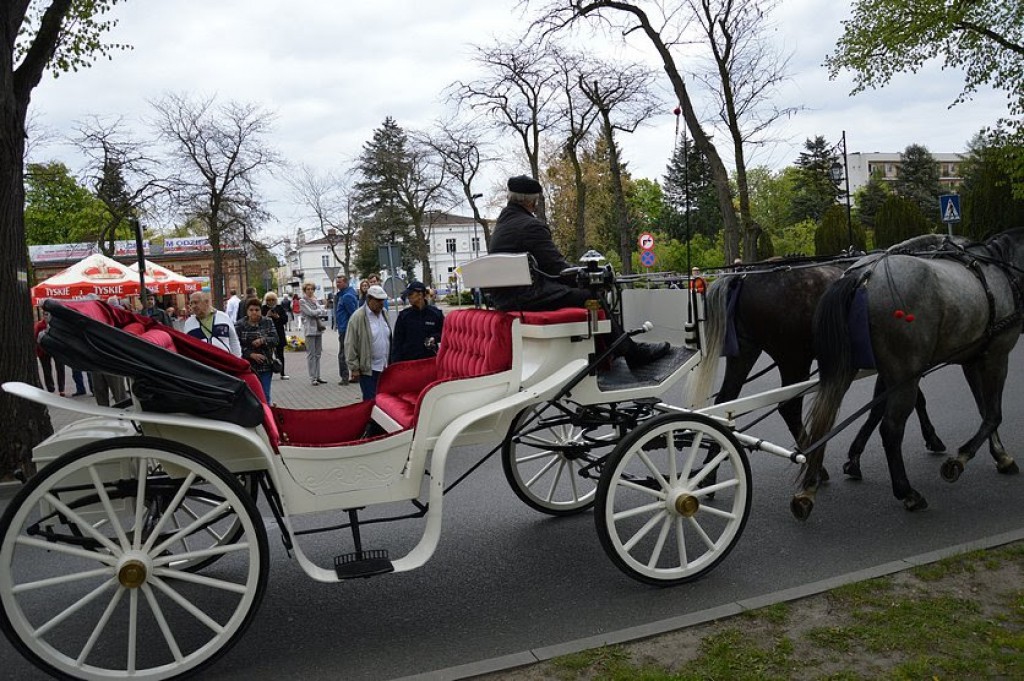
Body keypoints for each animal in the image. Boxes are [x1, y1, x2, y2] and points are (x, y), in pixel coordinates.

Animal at [790, 231, 1024, 518]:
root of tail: (863, 275)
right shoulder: (997, 355)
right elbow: (993, 414)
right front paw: (959, 460)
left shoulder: (972, 359)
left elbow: (984, 409)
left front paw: (1000, 456)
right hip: (906, 373)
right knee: (891, 429)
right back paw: (907, 492)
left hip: (846, 369)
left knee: (824, 420)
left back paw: (808, 489)